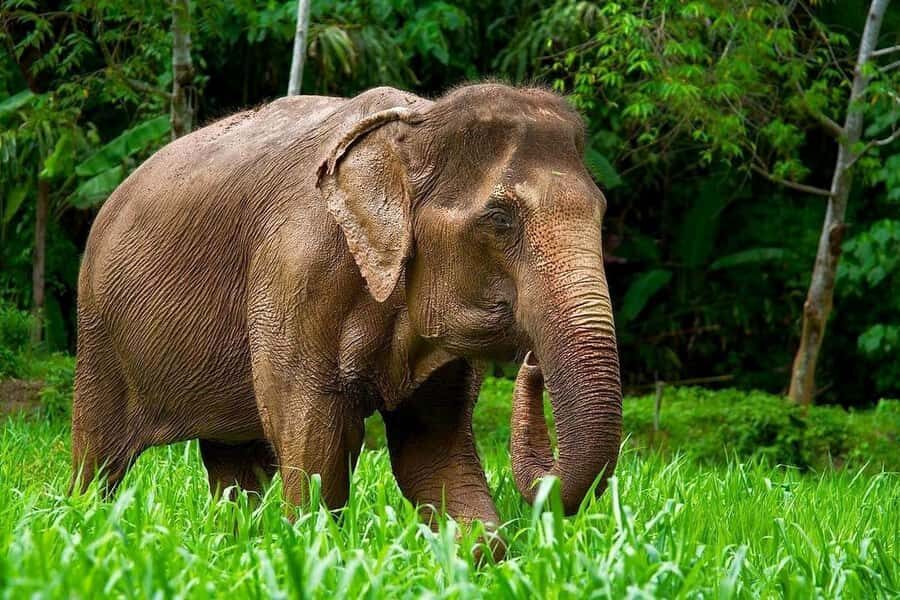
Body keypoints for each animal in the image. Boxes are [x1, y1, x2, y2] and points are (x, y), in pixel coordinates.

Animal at [71, 83, 622, 539]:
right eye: (500, 219)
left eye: (601, 212)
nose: (532, 363)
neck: (416, 124)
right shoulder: (294, 271)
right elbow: (314, 436)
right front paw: (312, 544)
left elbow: (433, 450)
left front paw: (480, 551)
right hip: (97, 328)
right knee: (100, 456)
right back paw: (86, 522)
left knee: (232, 461)